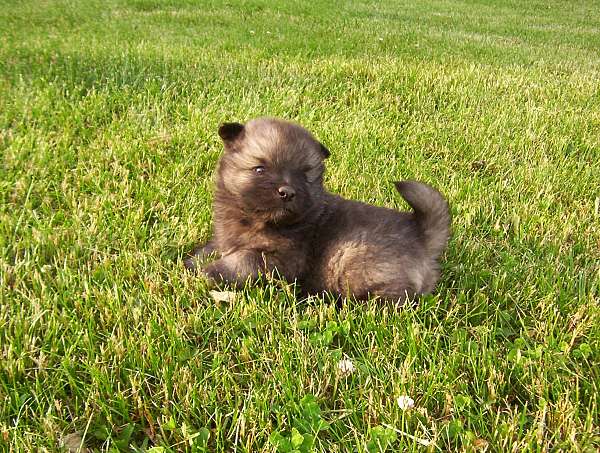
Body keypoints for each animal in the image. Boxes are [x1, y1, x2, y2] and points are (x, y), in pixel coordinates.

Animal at [184, 116, 450, 302]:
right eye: (260, 169)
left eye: (304, 175)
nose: (287, 192)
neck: (255, 220)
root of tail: (419, 234)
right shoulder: (225, 239)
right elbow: (210, 249)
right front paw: (190, 263)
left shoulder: (280, 259)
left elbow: (242, 261)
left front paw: (209, 272)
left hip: (354, 262)